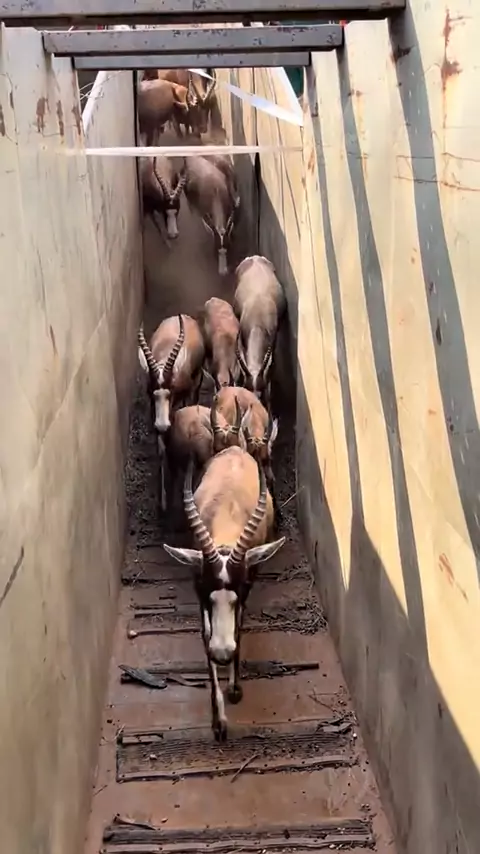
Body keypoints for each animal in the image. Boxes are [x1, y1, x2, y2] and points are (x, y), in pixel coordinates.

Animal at [163, 447, 285, 741]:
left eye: (237, 591)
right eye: (208, 593)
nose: (222, 654)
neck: (227, 510)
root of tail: (235, 450)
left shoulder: (248, 583)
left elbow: (239, 627)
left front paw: (234, 689)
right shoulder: (198, 588)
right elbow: (206, 634)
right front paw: (218, 722)